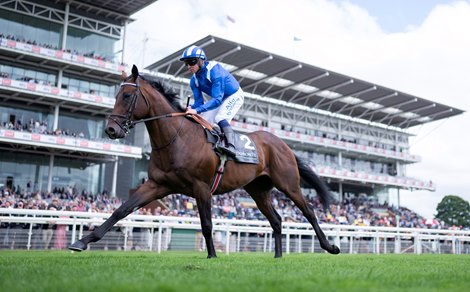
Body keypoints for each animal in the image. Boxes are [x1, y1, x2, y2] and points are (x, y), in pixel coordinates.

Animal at [68, 64, 340, 258]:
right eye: (115, 95)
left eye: (126, 95)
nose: (111, 129)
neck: (177, 138)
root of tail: (282, 143)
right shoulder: (157, 185)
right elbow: (121, 210)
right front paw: (82, 241)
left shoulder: (201, 187)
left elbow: (207, 223)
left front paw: (212, 256)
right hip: (258, 189)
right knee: (276, 219)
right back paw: (278, 256)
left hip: (288, 184)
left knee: (309, 211)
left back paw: (330, 247)